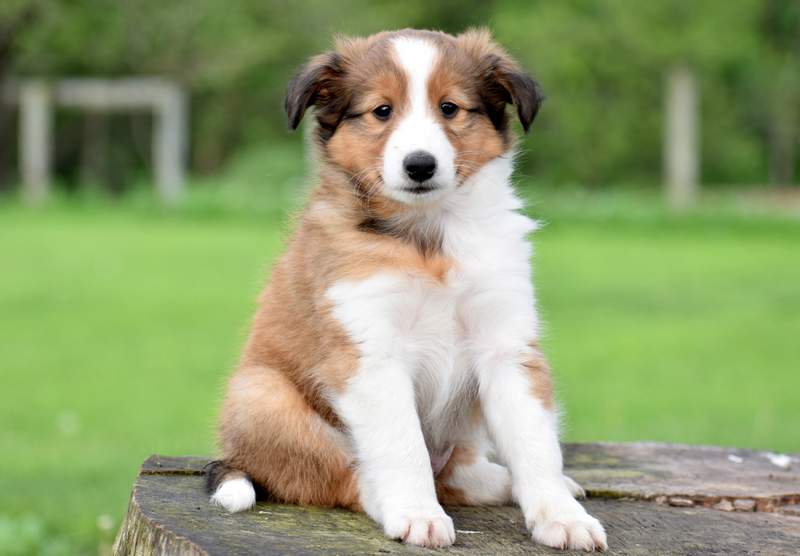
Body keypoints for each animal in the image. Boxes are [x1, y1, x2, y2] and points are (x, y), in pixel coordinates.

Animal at [206, 27, 608, 552]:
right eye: (382, 111)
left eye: (450, 108)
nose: (420, 165)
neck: (429, 238)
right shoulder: (370, 352)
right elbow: (402, 445)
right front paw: (418, 515)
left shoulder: (506, 344)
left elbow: (536, 442)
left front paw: (562, 516)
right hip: (262, 394)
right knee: (342, 479)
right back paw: (392, 502)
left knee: (456, 474)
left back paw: (511, 483)